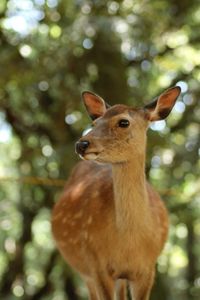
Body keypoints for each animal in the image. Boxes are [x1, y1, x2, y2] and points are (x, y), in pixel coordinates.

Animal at [51, 85, 181, 298]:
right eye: (94, 122)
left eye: (123, 122)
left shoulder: (148, 270)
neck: (129, 243)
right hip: (84, 271)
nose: (81, 144)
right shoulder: (97, 265)